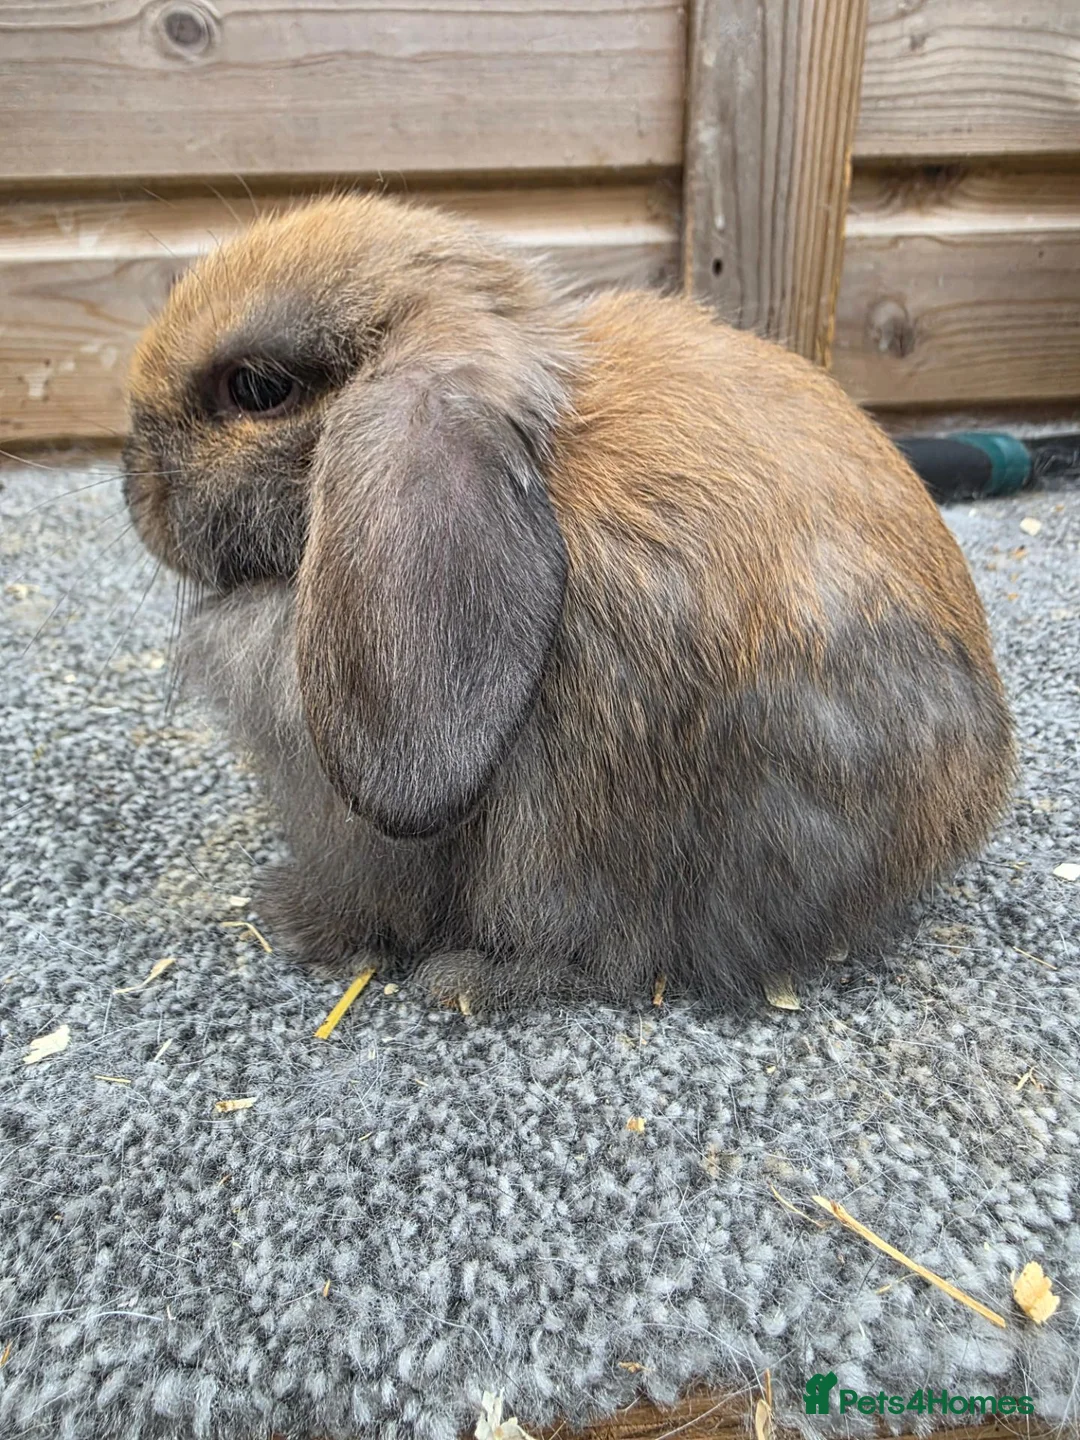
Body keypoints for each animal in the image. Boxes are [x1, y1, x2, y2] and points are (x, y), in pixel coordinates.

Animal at [122, 193, 1015, 1010]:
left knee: (611, 951)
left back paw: (470, 977)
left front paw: (299, 921)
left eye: (256, 389)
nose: (135, 488)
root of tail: (955, 816)